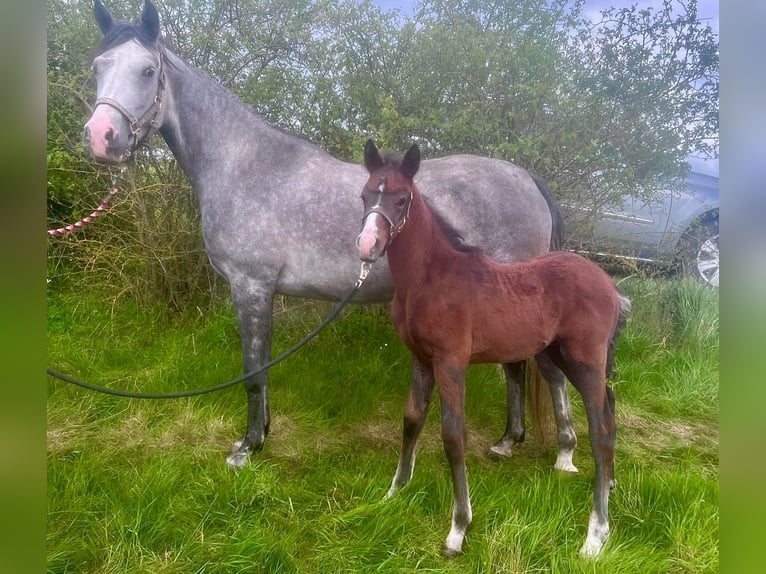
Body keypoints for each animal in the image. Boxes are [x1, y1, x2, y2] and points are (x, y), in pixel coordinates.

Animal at [85, 0, 576, 472]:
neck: (245, 165)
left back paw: (563, 453)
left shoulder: (251, 286)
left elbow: (253, 371)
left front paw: (247, 447)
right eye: (97, 66)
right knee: (516, 366)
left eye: (147, 71)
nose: (100, 137)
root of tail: (525, 179)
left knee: (545, 371)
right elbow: (262, 366)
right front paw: (263, 433)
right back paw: (508, 441)